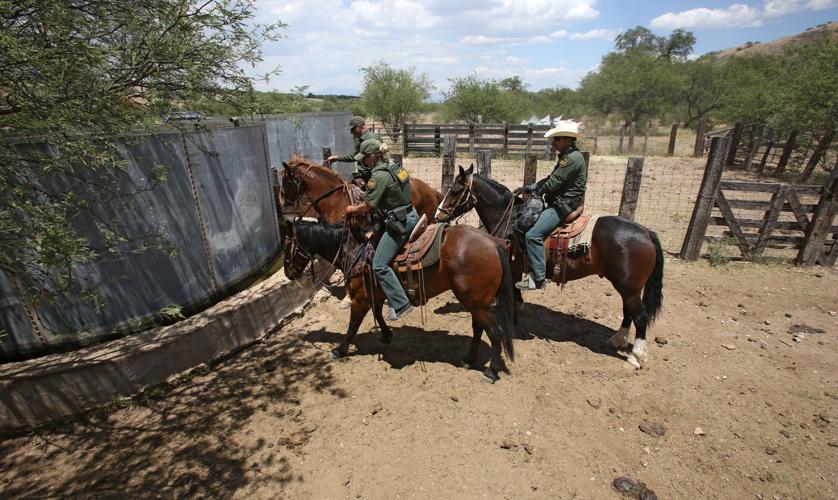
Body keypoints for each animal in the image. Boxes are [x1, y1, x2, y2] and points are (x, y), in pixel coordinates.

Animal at [283, 217, 517, 383]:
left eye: (287, 245)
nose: (288, 273)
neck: (355, 253)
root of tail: (494, 244)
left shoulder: (359, 300)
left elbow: (352, 327)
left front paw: (339, 350)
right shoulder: (376, 294)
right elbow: (377, 313)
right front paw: (386, 334)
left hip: (476, 303)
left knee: (495, 333)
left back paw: (491, 372)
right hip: (476, 304)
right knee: (479, 329)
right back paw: (468, 359)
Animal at [435, 165, 664, 369]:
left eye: (455, 190)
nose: (439, 215)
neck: (509, 218)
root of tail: (646, 233)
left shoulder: (512, 268)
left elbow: (513, 299)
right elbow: (515, 299)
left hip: (628, 287)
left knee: (640, 317)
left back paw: (634, 357)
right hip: (628, 288)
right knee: (629, 312)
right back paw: (617, 340)